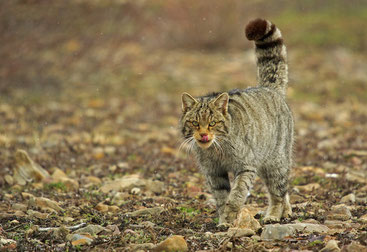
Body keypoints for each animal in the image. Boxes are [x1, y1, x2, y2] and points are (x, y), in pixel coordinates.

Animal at [180, 18, 294, 224]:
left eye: (213, 123)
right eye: (194, 123)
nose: (203, 135)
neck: (217, 150)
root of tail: (269, 88)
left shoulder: (246, 166)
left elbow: (237, 194)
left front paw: (231, 216)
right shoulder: (214, 172)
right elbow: (221, 197)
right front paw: (224, 220)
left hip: (276, 161)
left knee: (277, 192)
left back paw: (273, 215)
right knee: (283, 190)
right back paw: (286, 211)